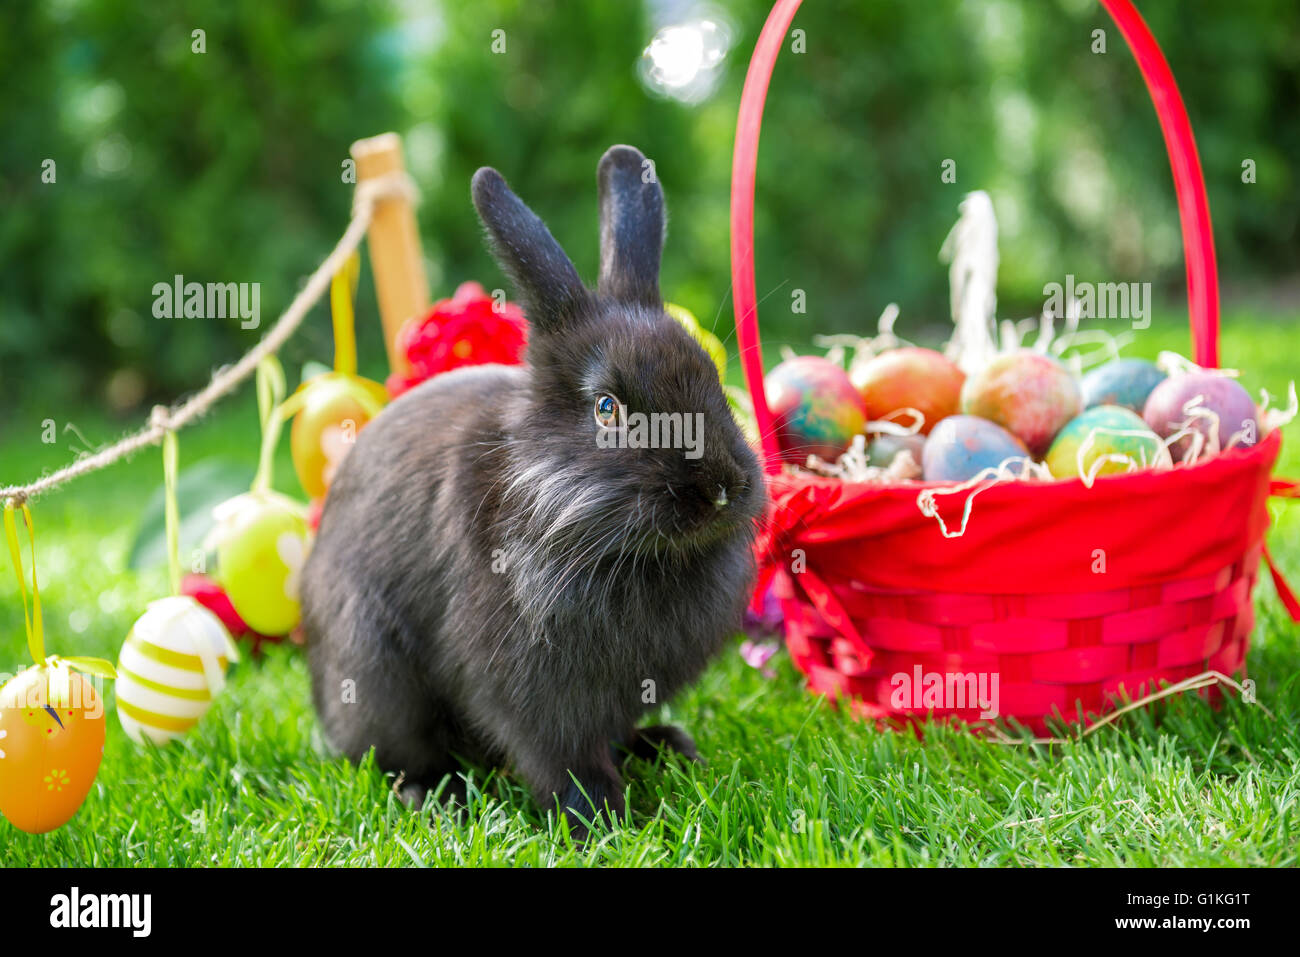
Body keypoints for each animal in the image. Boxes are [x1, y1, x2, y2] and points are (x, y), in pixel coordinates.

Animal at [299, 141, 764, 832]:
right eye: (606, 407)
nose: (724, 491)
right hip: (372, 674)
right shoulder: (529, 696)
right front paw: (602, 821)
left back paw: (666, 746)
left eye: (713, 380)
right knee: (390, 756)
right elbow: (558, 759)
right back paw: (435, 797)